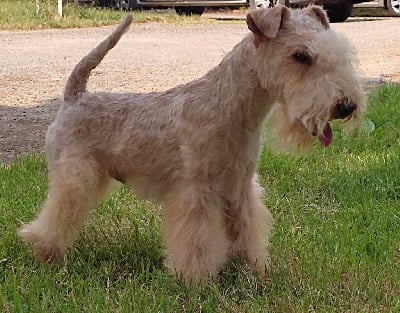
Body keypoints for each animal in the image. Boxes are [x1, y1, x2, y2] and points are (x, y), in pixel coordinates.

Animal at [18, 6, 366, 282]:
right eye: (300, 55)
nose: (346, 105)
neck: (231, 107)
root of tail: (74, 97)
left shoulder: (240, 187)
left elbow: (247, 231)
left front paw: (253, 269)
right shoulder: (198, 190)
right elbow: (197, 241)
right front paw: (195, 280)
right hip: (74, 178)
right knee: (53, 218)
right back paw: (46, 254)